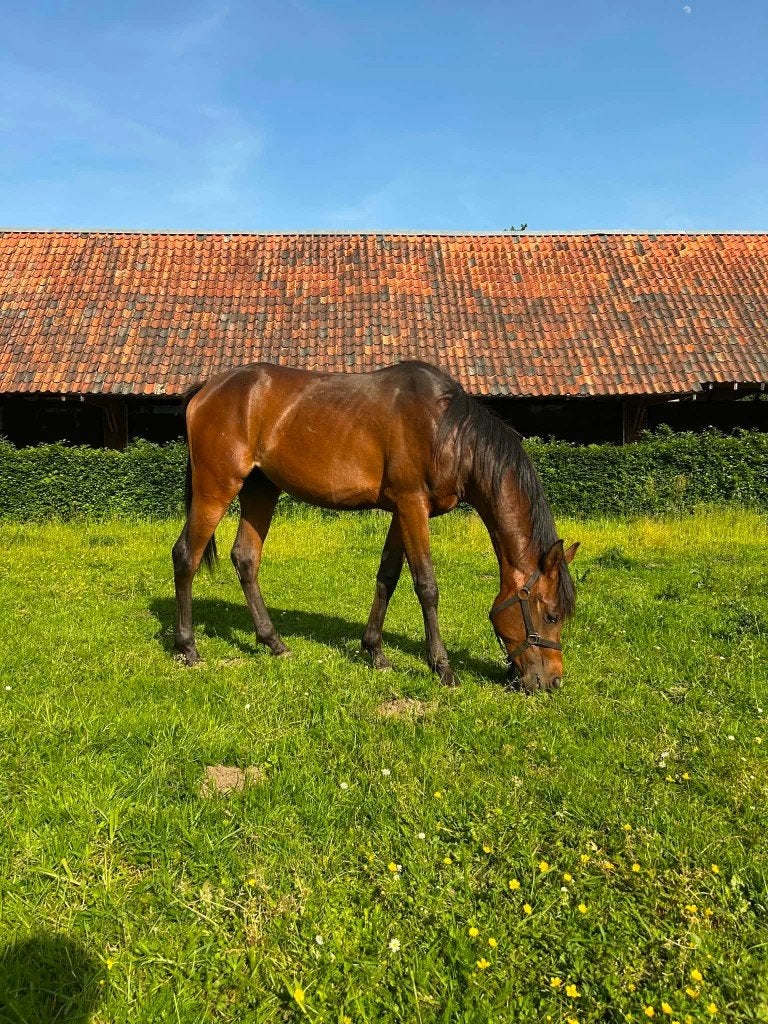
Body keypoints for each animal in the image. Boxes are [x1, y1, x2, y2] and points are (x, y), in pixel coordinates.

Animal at [172, 361, 578, 692]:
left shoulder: (402, 511)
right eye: (552, 615)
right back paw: (188, 648)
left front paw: (375, 653)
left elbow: (388, 576)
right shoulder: (413, 505)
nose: (553, 681)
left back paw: (274, 643)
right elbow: (426, 585)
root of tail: (207, 389)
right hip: (216, 487)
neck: (449, 431)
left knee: (245, 558)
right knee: (186, 556)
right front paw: (442, 667)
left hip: (260, 489)